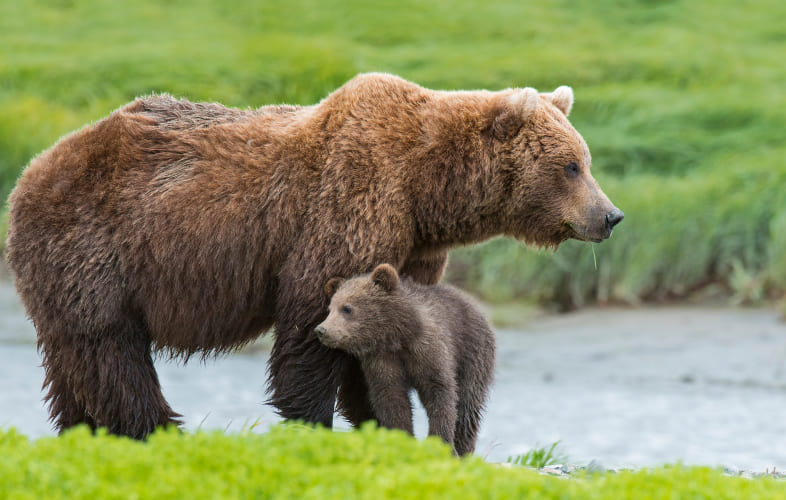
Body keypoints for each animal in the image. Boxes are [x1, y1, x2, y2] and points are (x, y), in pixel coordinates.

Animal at [315, 264, 495, 456]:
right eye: (330, 309)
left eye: (347, 308)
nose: (321, 330)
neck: (398, 336)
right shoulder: (381, 359)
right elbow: (391, 398)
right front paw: (403, 439)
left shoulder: (428, 350)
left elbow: (441, 392)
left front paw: (440, 442)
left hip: (473, 353)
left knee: (468, 405)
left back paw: (464, 449)